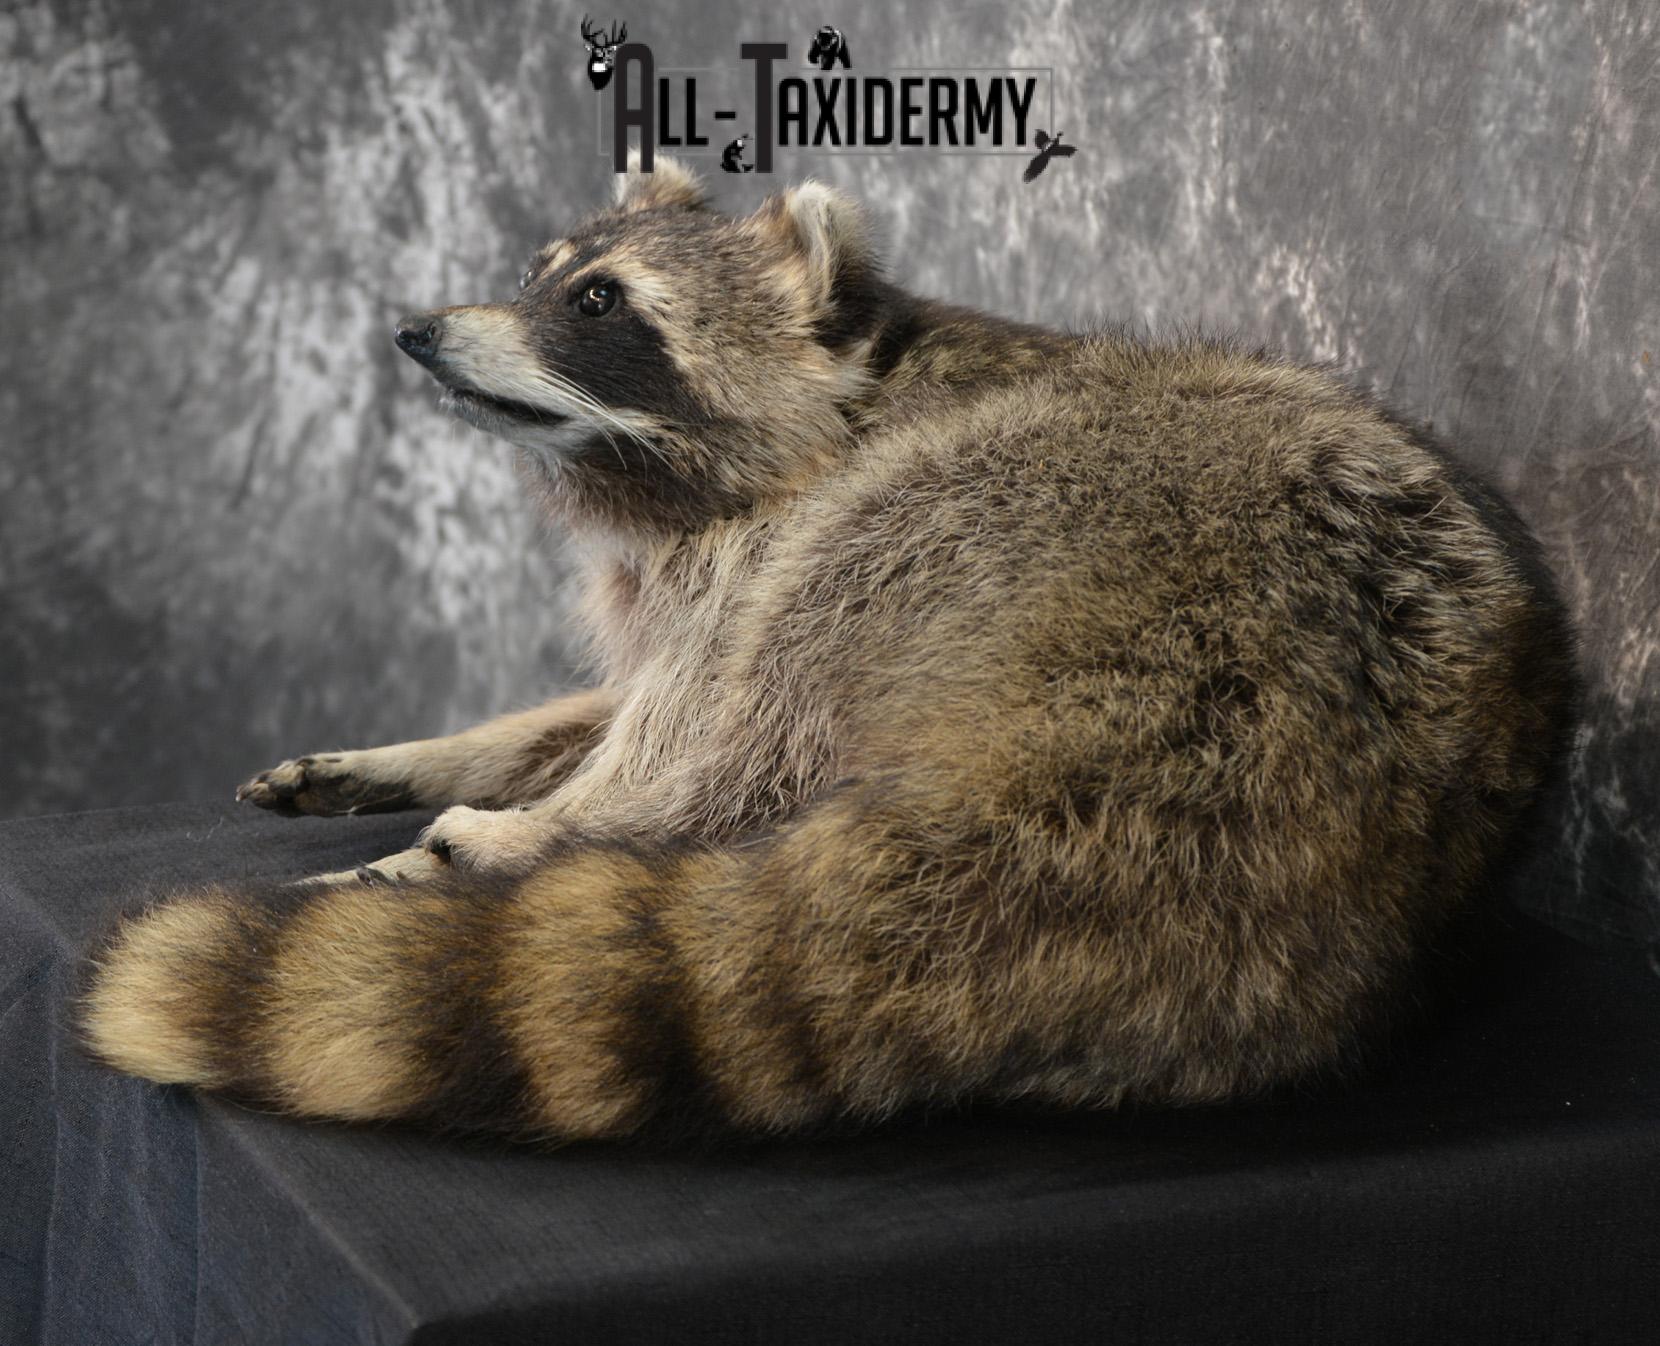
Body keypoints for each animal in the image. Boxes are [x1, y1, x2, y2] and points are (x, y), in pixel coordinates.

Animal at [76, 157, 1578, 1143]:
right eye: (532, 278)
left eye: (599, 303)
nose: (417, 331)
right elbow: (598, 701)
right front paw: (445, 748)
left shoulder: (772, 535)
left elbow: (682, 721)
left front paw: (558, 810)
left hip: (1022, 513)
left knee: (775, 693)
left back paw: (539, 842)